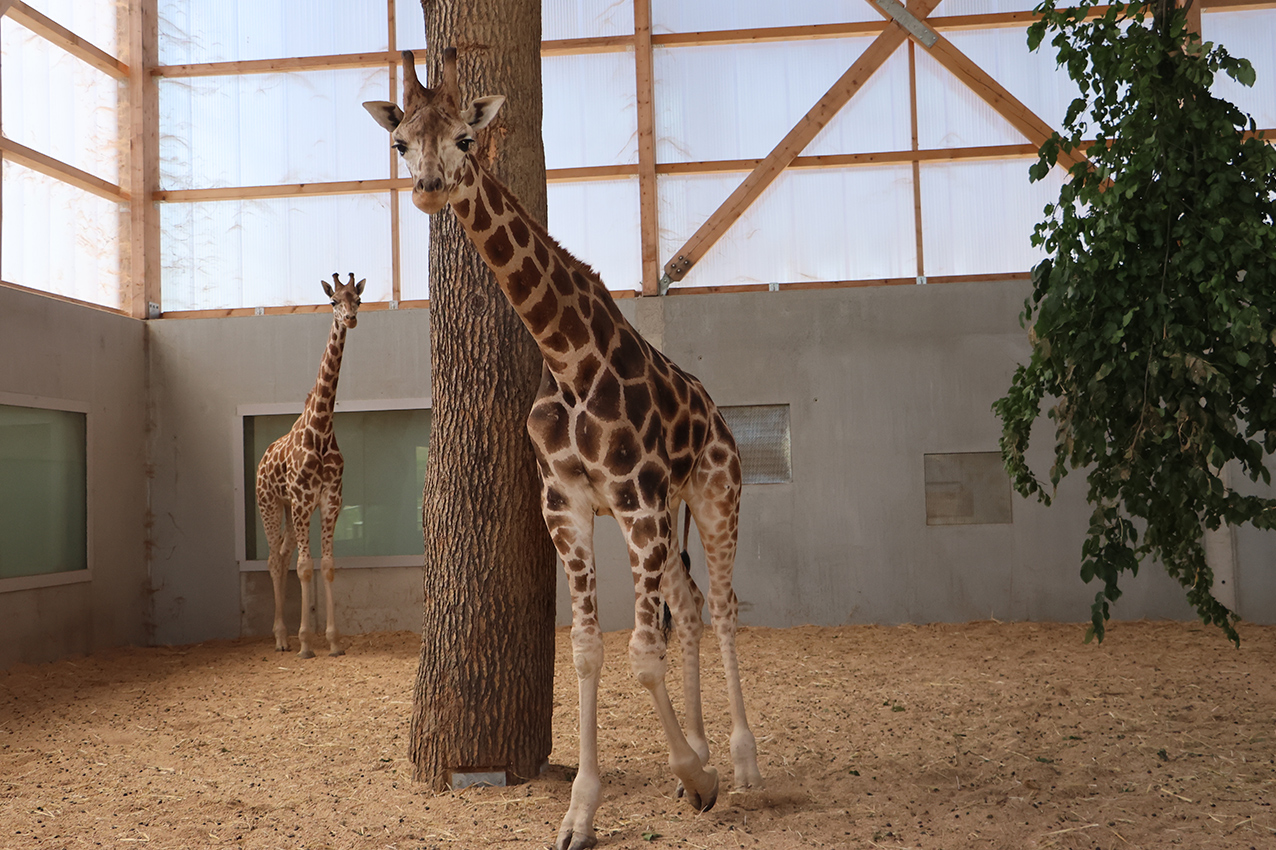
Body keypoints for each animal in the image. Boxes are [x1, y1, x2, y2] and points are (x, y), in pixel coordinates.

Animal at [255, 273, 365, 659]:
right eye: (333, 301)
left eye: (357, 300)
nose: (350, 319)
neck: (321, 427)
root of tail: (261, 460)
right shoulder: (304, 500)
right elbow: (305, 567)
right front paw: (305, 642)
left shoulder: (330, 500)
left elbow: (327, 566)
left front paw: (332, 641)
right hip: (271, 504)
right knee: (274, 560)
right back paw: (281, 638)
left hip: (288, 509)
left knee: (284, 552)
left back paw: (284, 636)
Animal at [365, 50, 762, 850]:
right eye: (400, 143)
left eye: (464, 139)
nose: (429, 188)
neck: (569, 359)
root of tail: (718, 417)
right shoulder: (569, 506)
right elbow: (586, 649)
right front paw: (585, 809)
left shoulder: (637, 502)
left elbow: (640, 653)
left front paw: (695, 778)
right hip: (671, 517)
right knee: (692, 604)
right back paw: (705, 751)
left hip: (715, 492)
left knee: (727, 605)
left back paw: (740, 766)